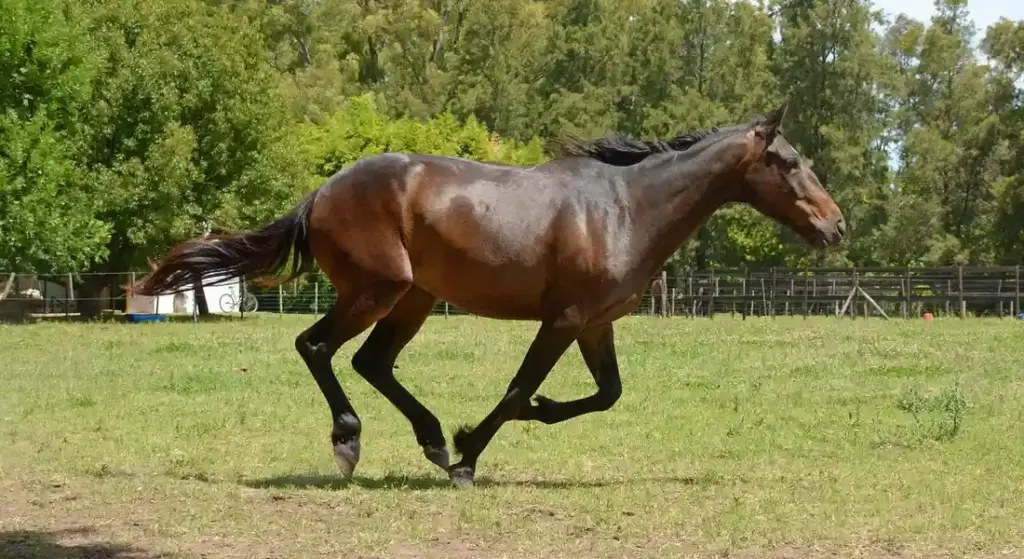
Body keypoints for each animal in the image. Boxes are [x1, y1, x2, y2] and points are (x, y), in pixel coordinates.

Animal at [128, 101, 845, 486]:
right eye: (788, 162)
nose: (836, 225)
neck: (624, 208)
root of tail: (322, 193)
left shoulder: (596, 324)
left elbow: (606, 394)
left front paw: (481, 436)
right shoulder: (564, 319)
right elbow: (519, 388)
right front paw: (471, 452)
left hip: (412, 299)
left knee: (370, 361)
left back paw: (430, 438)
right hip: (378, 289)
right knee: (317, 346)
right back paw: (351, 441)